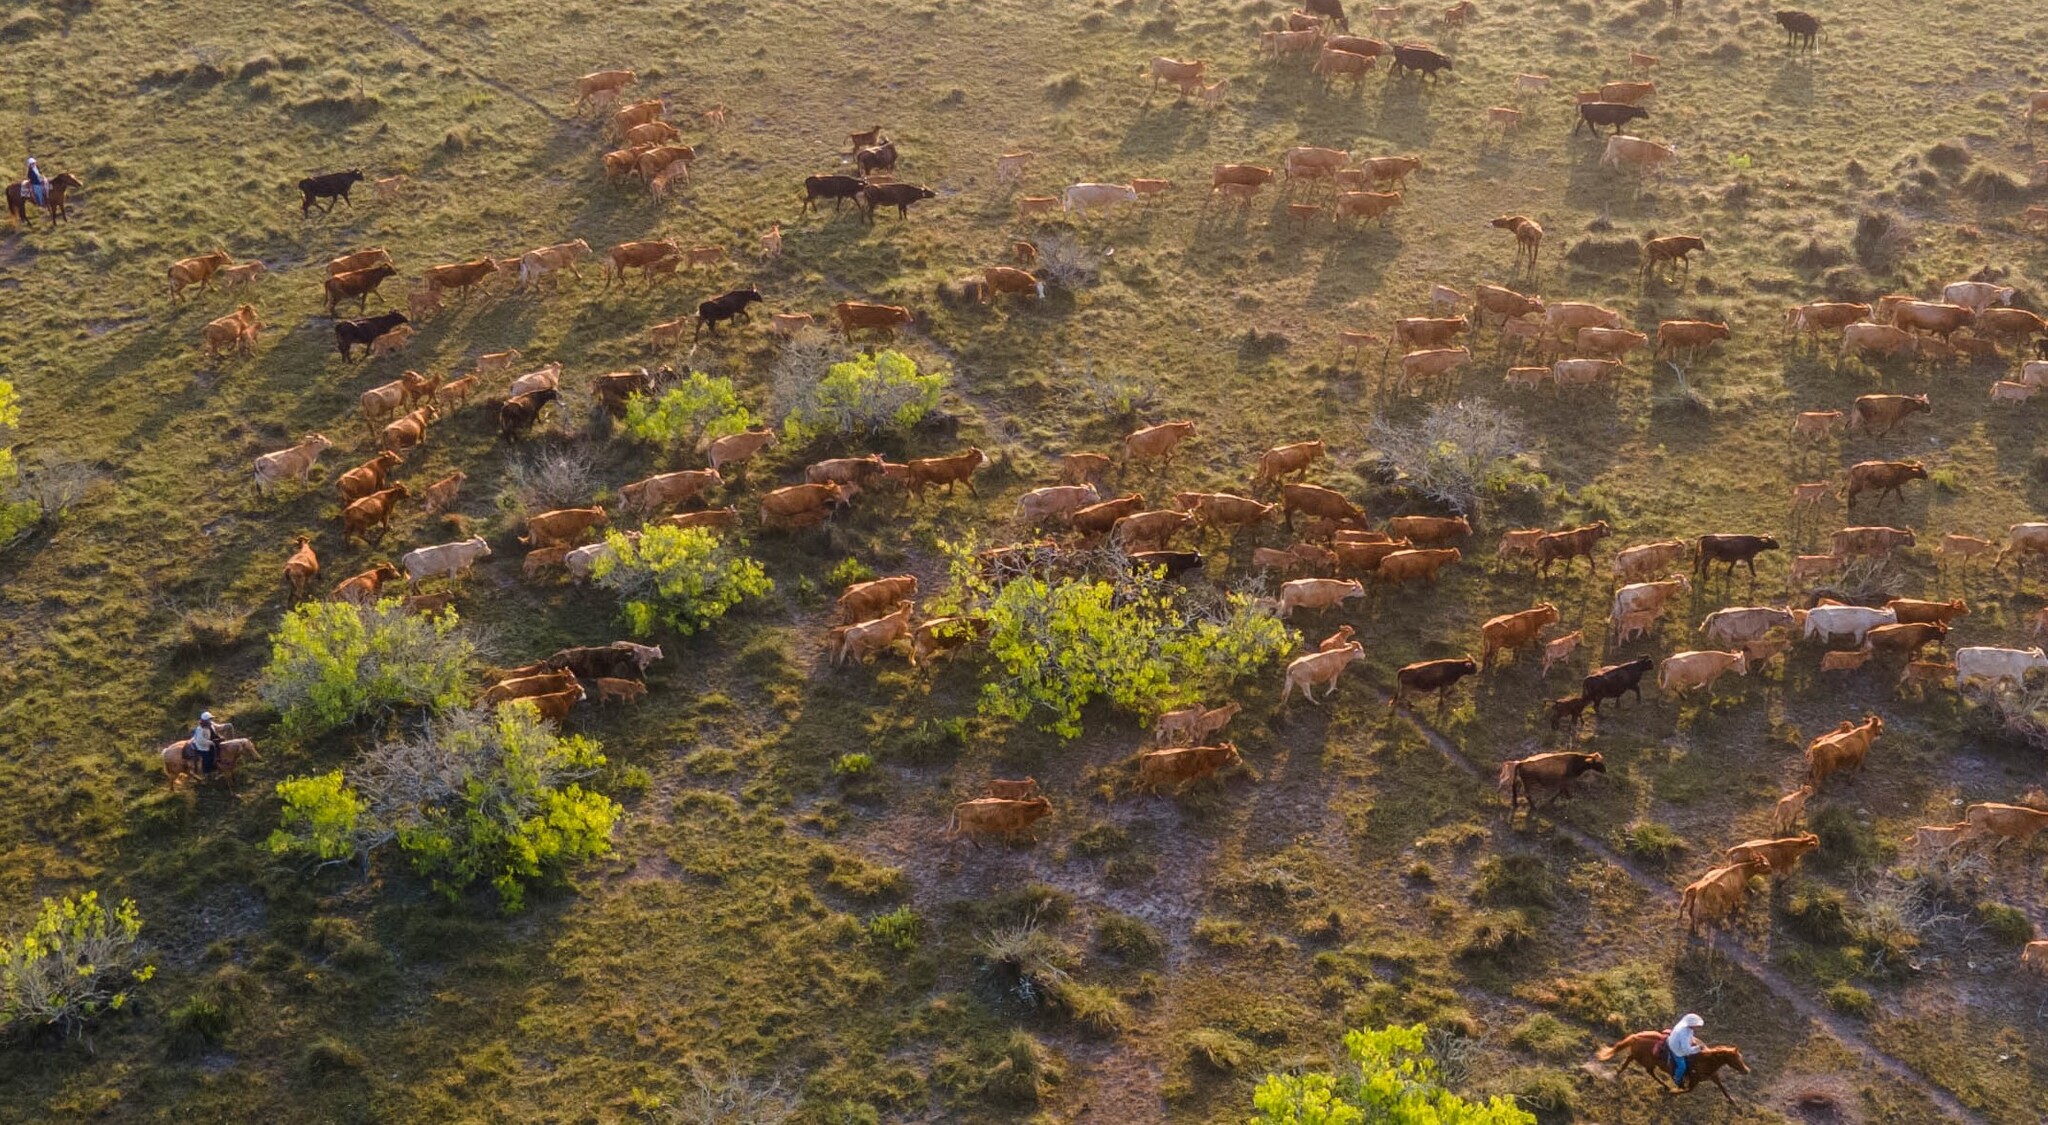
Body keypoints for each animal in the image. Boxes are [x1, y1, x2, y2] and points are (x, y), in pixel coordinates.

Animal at [1589, 1032, 1753, 1098]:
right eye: (1737, 1059)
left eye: (1741, 1058)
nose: (1747, 1070)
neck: (1706, 1060)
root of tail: (1636, 1037)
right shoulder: (1694, 1079)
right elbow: (1688, 1090)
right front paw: (1674, 1091)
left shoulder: (1713, 1076)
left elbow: (1723, 1089)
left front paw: (1735, 1105)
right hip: (1647, 1060)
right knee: (1646, 1069)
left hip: (1645, 1059)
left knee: (1636, 1063)